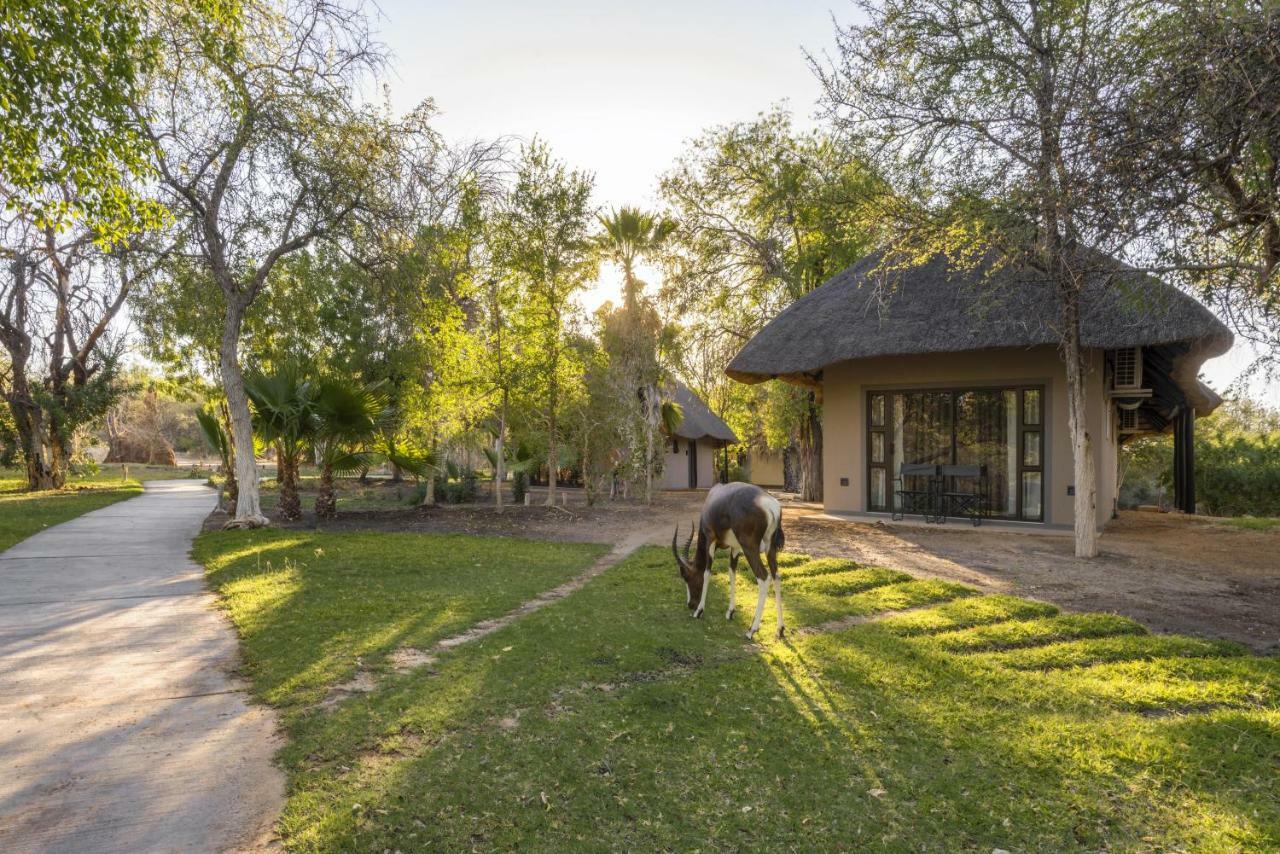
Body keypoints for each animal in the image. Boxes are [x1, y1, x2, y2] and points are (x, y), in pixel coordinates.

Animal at [675, 483, 783, 637]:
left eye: (686, 577)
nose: (690, 605)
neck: (712, 499)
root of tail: (769, 504)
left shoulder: (710, 540)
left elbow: (707, 573)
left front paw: (699, 611)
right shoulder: (735, 547)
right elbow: (732, 572)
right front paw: (730, 612)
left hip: (750, 548)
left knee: (764, 577)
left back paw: (752, 630)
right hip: (770, 547)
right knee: (776, 576)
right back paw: (780, 629)